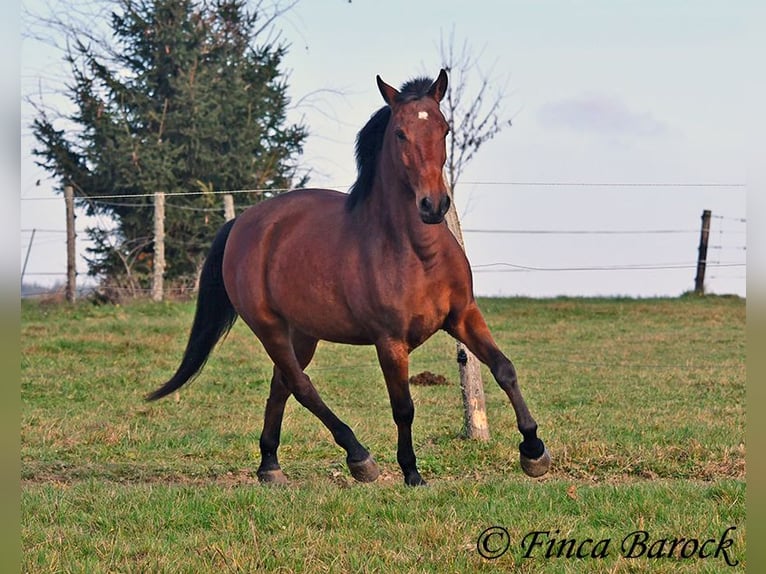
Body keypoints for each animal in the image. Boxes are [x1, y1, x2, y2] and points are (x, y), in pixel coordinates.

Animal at [146, 70, 552, 488]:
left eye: (445, 128)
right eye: (400, 133)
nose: (434, 205)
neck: (418, 253)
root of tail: (242, 222)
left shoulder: (463, 316)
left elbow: (504, 369)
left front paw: (534, 451)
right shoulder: (389, 342)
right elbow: (403, 407)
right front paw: (411, 472)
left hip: (303, 333)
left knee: (281, 384)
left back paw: (270, 465)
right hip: (269, 327)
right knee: (301, 386)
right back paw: (359, 457)